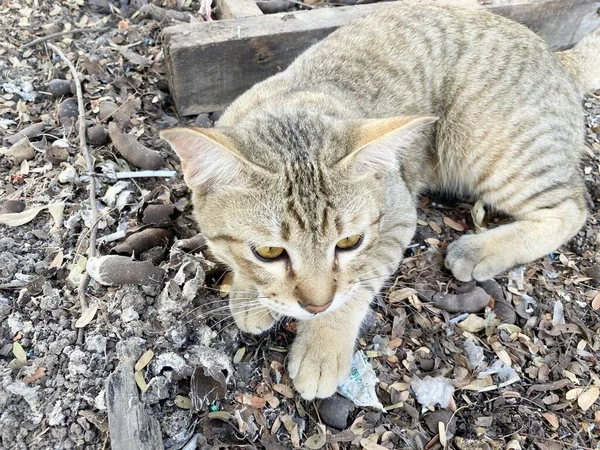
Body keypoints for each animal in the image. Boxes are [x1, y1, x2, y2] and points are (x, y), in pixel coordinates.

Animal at [161, 2, 600, 398]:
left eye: (349, 243)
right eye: (269, 251)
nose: (316, 306)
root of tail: (559, 58)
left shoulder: (397, 219)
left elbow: (357, 284)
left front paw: (322, 343)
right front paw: (250, 292)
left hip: (488, 148)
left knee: (572, 209)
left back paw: (478, 249)